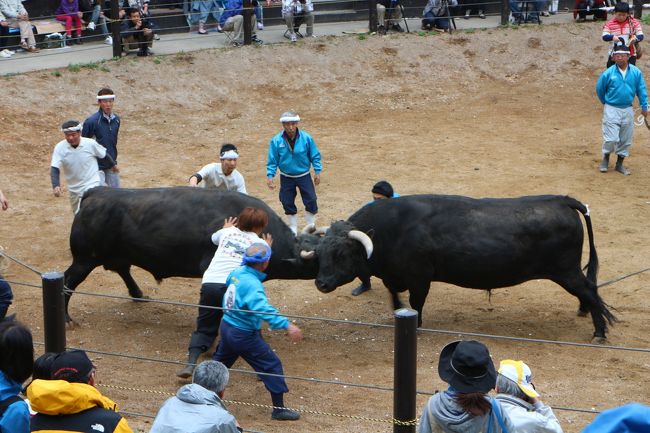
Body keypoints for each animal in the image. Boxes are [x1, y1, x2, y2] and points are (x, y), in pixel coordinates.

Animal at [64, 186, 318, 320]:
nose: (324, 284)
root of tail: (96, 192)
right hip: (84, 259)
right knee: (67, 281)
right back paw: (67, 319)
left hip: (114, 255)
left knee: (122, 269)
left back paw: (139, 294)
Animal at [306, 194, 616, 340]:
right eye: (321, 252)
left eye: (341, 253)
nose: (321, 283)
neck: (390, 229)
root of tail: (562, 199)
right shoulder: (395, 277)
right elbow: (395, 297)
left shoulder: (419, 278)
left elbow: (416, 303)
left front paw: (416, 325)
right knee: (589, 291)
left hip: (566, 271)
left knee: (591, 290)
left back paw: (599, 332)